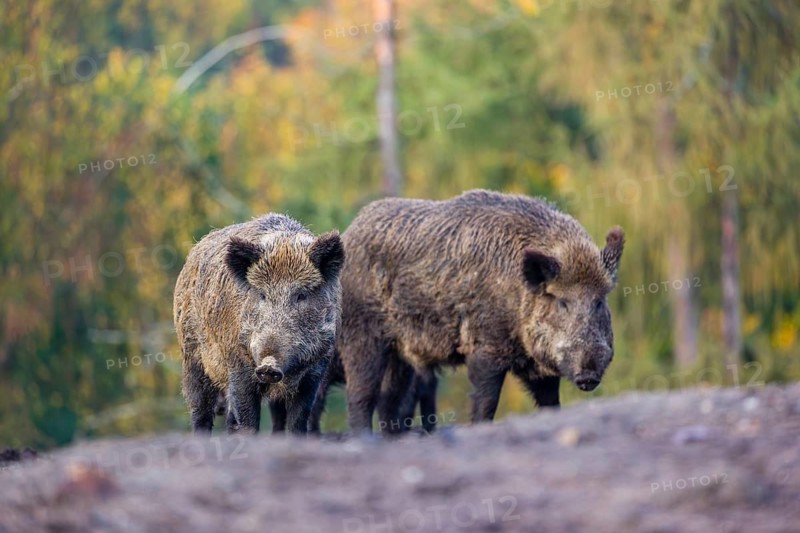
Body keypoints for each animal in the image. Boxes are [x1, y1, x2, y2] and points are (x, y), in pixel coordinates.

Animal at [173, 214, 344, 434]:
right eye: (262, 294)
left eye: (301, 295)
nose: (268, 366)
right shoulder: (238, 364)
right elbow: (248, 420)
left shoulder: (315, 372)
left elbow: (298, 422)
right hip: (192, 357)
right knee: (200, 410)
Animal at [339, 189, 624, 432]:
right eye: (561, 301)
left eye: (599, 301)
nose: (588, 374)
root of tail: (349, 232)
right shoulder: (485, 347)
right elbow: (485, 401)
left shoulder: (538, 367)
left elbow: (550, 403)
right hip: (362, 334)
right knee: (361, 394)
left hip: (400, 353)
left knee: (389, 400)